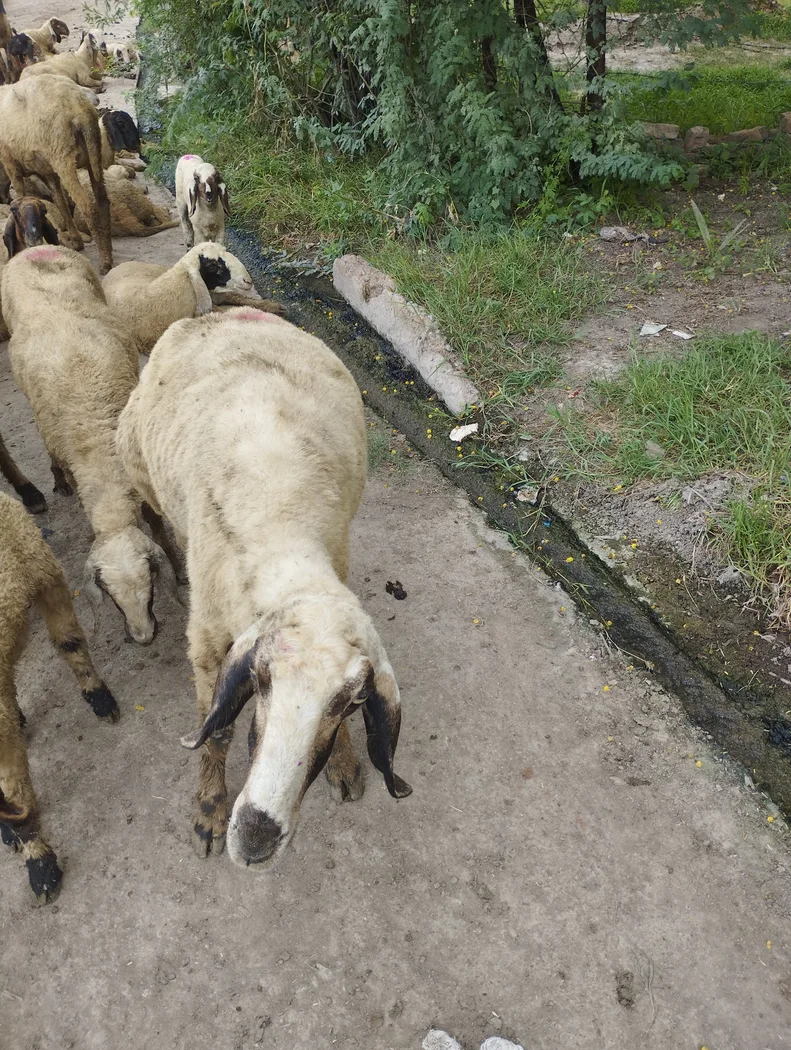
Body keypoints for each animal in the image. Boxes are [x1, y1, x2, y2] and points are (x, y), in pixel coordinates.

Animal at [0, 74, 113, 273]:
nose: (3, 199)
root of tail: (80, 109)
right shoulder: (48, 169)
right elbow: (60, 201)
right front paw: (76, 240)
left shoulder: (10, 163)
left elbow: (21, 195)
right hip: (94, 153)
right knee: (102, 200)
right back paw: (108, 253)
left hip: (63, 157)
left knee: (88, 207)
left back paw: (105, 262)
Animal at [1, 245, 181, 643]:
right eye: (111, 598)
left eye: (151, 588)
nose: (144, 638)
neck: (97, 446)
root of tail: (31, 249)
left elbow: (156, 524)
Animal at [117, 308, 411, 868]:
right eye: (261, 678)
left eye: (352, 702)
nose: (256, 838)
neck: (283, 530)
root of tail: (217, 313)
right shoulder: (209, 643)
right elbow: (218, 729)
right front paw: (209, 811)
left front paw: (343, 764)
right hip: (140, 469)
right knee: (158, 517)